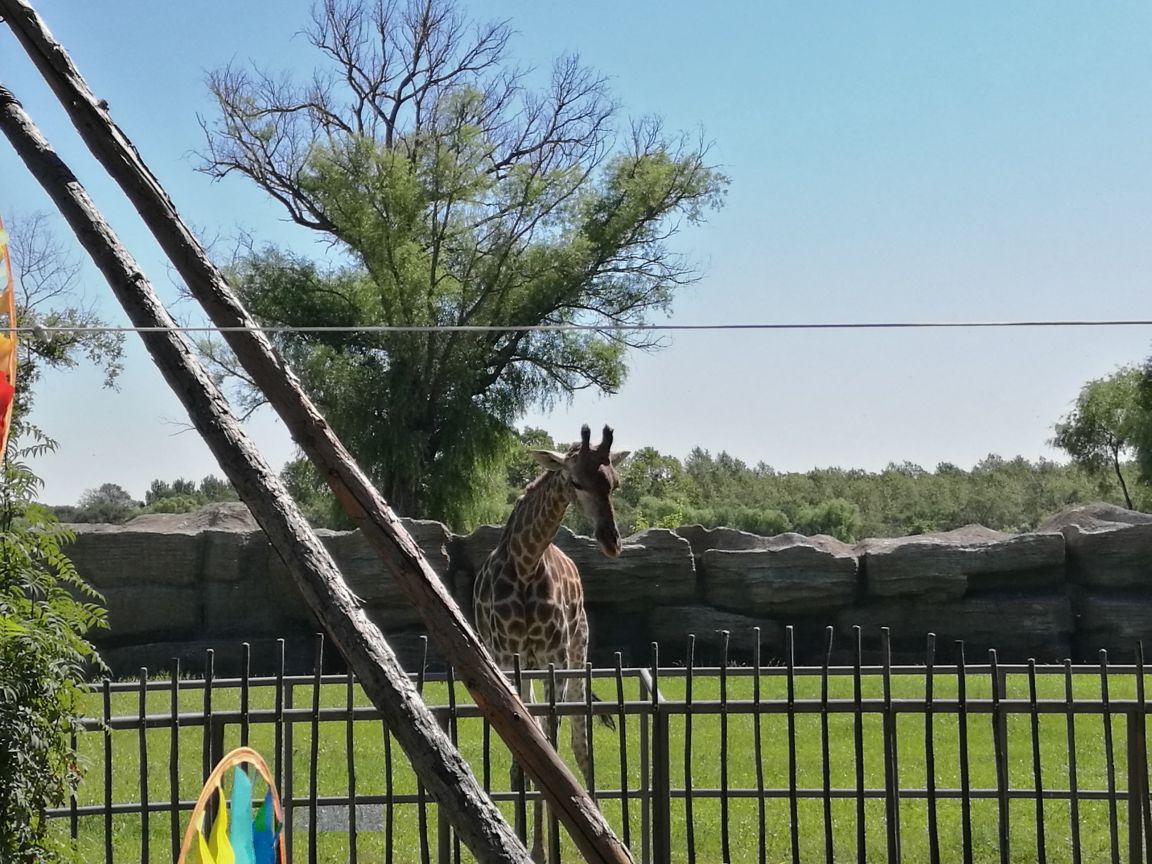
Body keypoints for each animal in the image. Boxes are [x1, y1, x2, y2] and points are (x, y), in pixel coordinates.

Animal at [470, 423, 631, 861]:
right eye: (575, 481)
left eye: (614, 483)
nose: (612, 542)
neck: (526, 564)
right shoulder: (505, 656)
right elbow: (525, 749)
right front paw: (529, 842)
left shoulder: (553, 655)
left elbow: (552, 748)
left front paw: (551, 846)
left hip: (576, 652)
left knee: (580, 741)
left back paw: (601, 826)